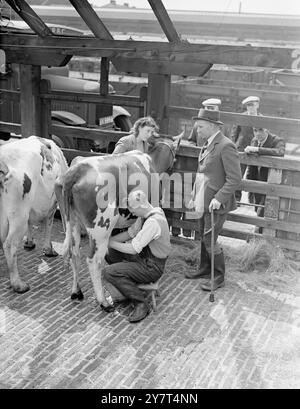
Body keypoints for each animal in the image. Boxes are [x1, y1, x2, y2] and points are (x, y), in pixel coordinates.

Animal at [0, 137, 68, 294]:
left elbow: (32, 223)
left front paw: (30, 242)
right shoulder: (54, 203)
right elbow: (50, 224)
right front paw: (49, 249)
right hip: (19, 215)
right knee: (9, 244)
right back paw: (18, 285)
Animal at [55, 135, 180, 308]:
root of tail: (76, 171)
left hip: (71, 222)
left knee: (75, 254)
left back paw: (76, 292)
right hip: (101, 228)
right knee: (93, 260)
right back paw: (103, 302)